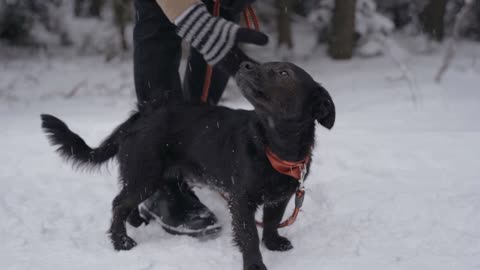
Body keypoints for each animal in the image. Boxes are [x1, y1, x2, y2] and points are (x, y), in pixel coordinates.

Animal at [40, 61, 334, 270]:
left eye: (284, 72)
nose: (245, 64)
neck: (272, 144)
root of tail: (139, 116)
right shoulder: (241, 200)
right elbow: (249, 235)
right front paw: (255, 265)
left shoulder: (281, 196)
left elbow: (272, 221)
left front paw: (273, 243)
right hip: (146, 173)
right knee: (118, 203)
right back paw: (121, 241)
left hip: (145, 175)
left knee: (125, 201)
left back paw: (136, 222)